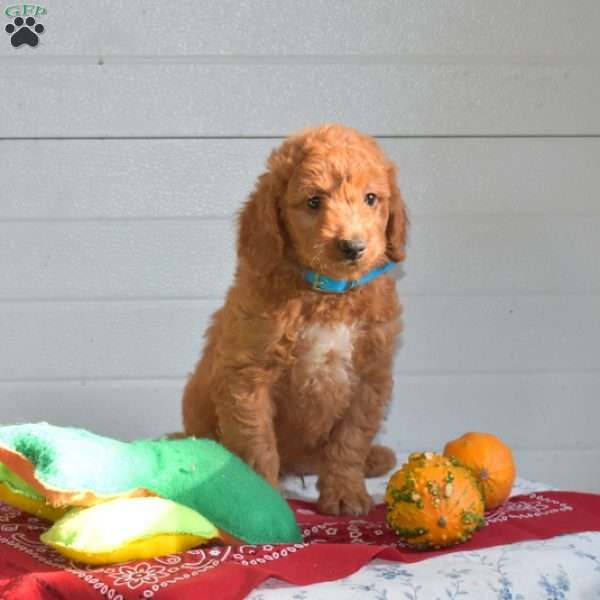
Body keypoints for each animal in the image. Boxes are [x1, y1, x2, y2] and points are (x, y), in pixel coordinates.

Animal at [183, 123, 408, 516]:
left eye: (371, 199)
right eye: (314, 202)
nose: (353, 247)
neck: (328, 294)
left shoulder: (370, 376)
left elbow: (351, 439)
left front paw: (345, 493)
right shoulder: (247, 376)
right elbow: (257, 445)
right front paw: (264, 503)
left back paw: (374, 458)